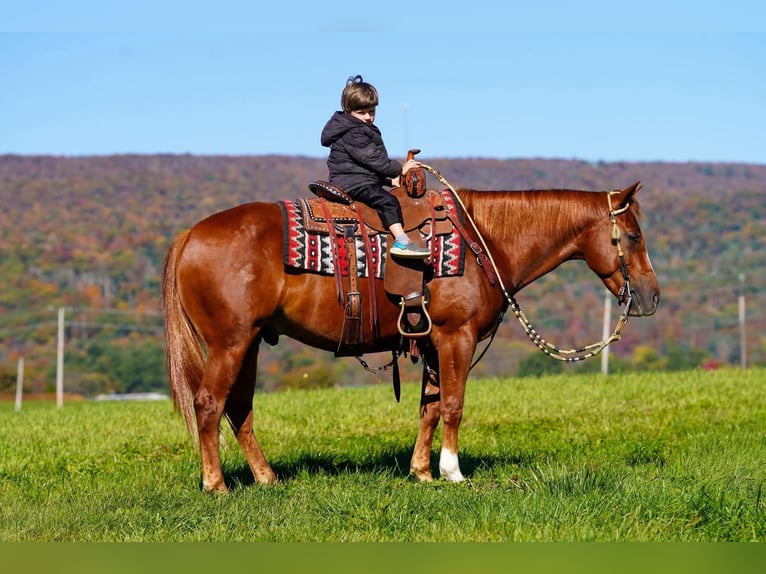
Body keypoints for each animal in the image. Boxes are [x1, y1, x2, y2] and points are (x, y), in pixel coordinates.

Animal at [162, 180, 659, 492]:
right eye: (633, 236)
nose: (650, 296)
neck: (484, 240)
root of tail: (191, 234)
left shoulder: (433, 343)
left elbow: (430, 408)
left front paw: (422, 471)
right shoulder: (456, 337)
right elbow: (453, 405)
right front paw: (452, 472)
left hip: (248, 345)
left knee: (239, 409)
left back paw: (266, 478)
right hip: (230, 344)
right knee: (209, 405)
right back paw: (216, 484)